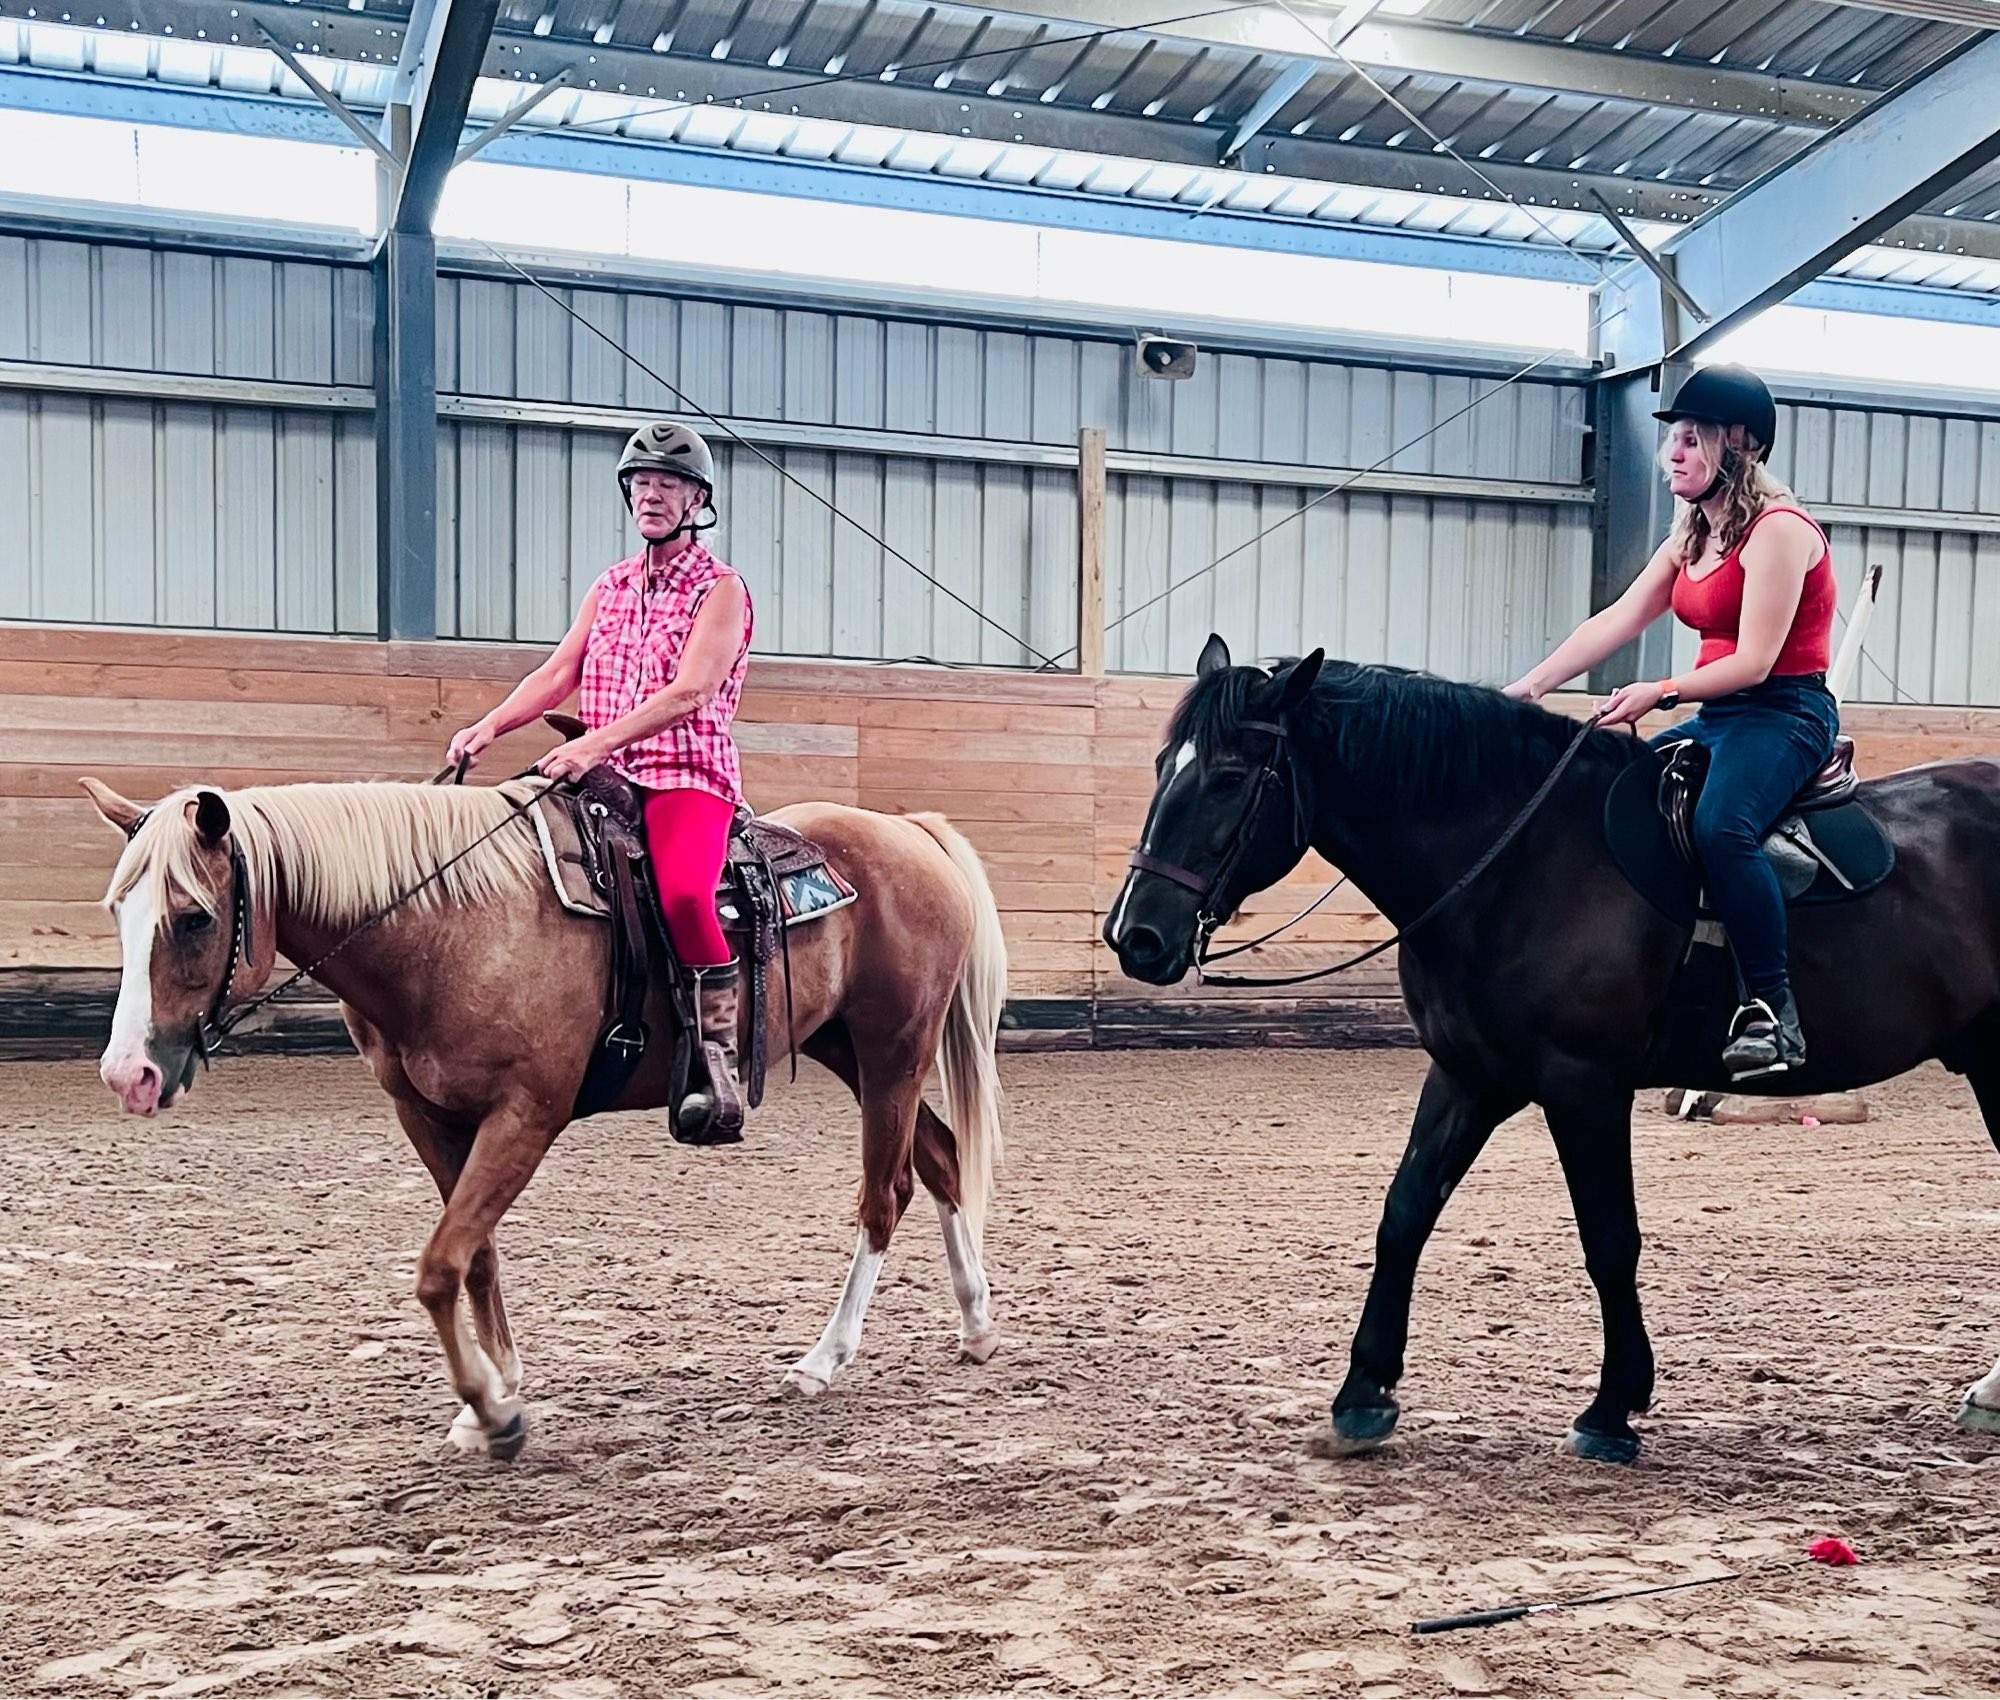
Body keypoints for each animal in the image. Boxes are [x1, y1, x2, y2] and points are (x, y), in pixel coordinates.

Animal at [86, 776, 1008, 1448]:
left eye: (194, 917)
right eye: (118, 911)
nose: (128, 1074)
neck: (449, 928)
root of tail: (910, 831)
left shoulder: (524, 1115)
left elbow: (440, 1265)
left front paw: (495, 1412)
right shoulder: (428, 1117)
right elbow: (476, 1255)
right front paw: (495, 1389)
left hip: (893, 1050)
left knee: (884, 1195)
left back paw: (825, 1358)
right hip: (846, 1048)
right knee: (938, 1156)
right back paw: (975, 1324)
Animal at [1104, 636, 2000, 1456]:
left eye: (1229, 777)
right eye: (1161, 765)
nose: (1134, 936)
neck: (1517, 863)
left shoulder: (1584, 1086)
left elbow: (1609, 1239)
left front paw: (1611, 1408)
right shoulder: (1467, 1077)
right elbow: (1404, 1215)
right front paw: (1363, 1394)